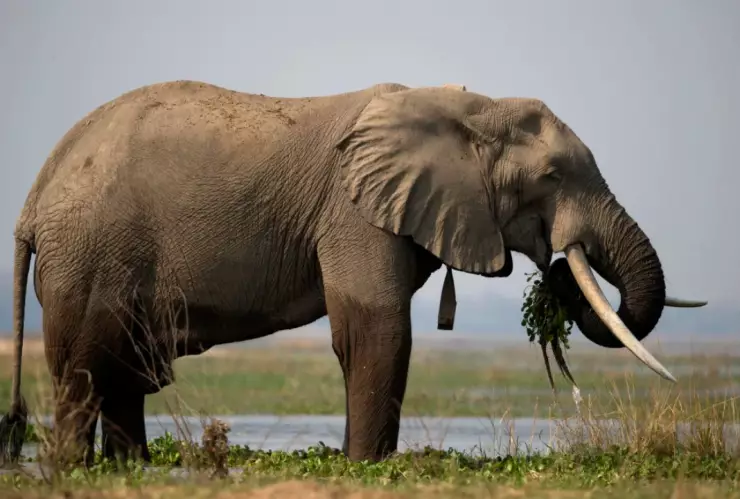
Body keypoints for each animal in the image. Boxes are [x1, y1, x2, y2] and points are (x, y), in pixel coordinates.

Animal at [0, 80, 706, 466]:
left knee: (123, 372)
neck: (467, 106)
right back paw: (75, 470)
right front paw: (367, 466)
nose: (558, 270)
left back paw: (135, 470)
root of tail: (34, 198)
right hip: (90, 255)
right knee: (87, 371)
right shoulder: (353, 210)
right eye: (553, 176)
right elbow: (376, 332)